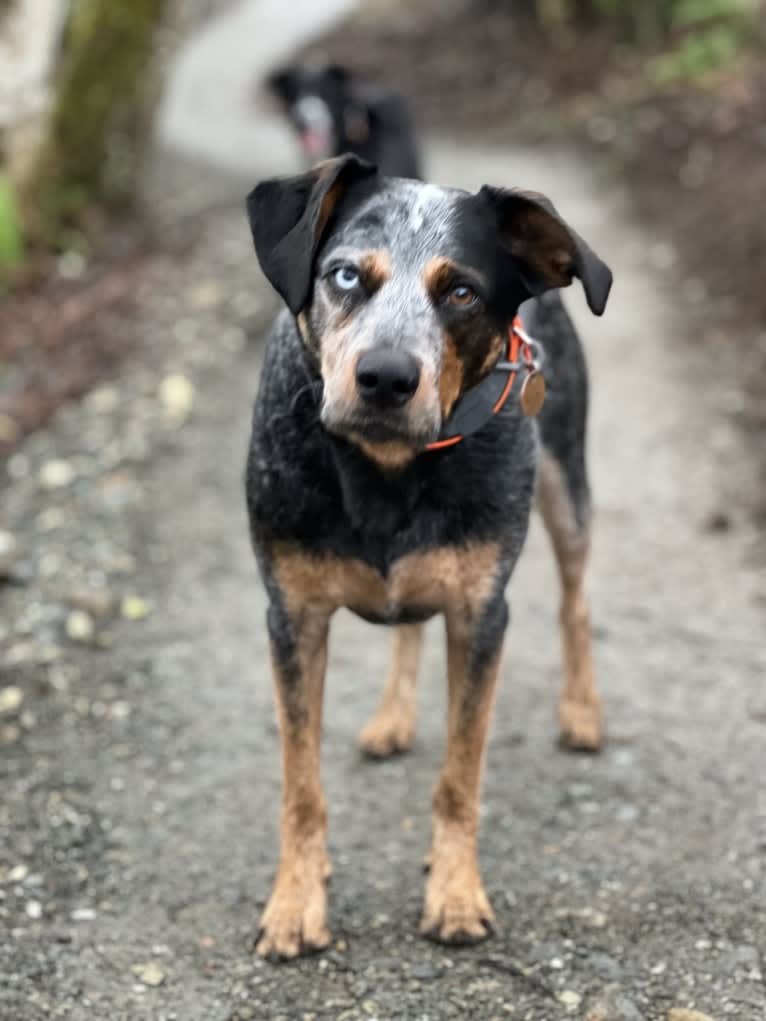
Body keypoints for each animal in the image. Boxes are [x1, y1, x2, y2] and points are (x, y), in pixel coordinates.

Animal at [243, 151, 616, 955]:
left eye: (463, 292)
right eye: (346, 275)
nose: (386, 376)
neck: (386, 470)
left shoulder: (481, 615)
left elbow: (459, 777)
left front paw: (454, 895)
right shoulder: (291, 615)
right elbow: (300, 783)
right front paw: (294, 903)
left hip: (566, 482)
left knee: (575, 598)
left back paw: (581, 710)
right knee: (409, 624)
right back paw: (394, 716)